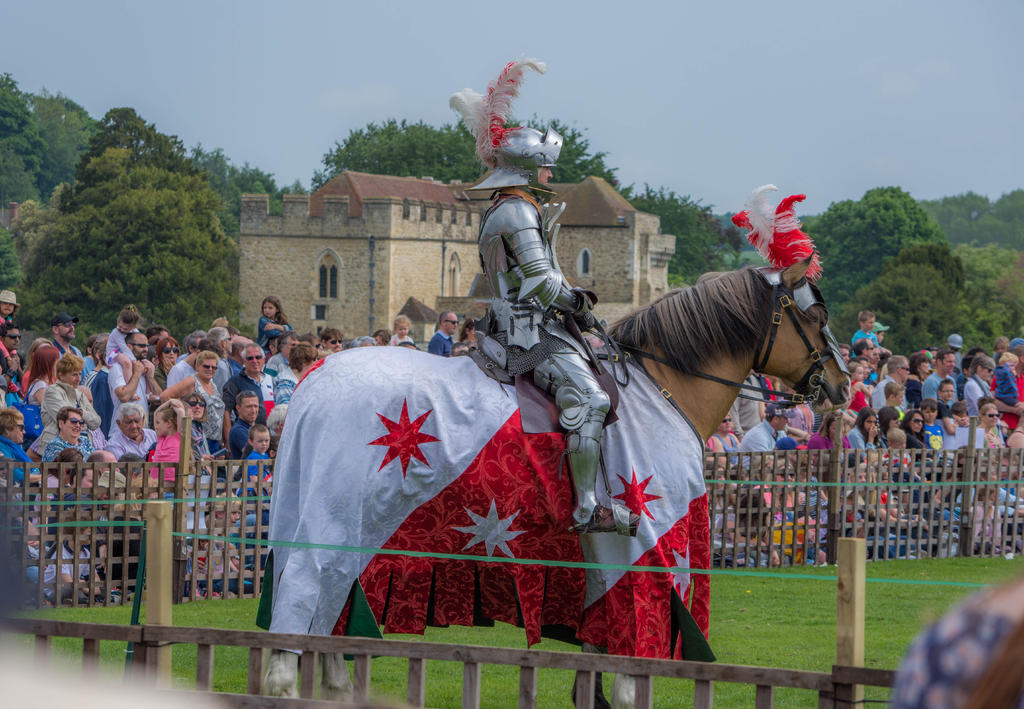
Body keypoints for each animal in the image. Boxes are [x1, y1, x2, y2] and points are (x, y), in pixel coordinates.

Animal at [260, 259, 851, 704]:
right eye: (816, 314)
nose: (842, 383)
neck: (662, 387)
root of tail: (313, 385)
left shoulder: (601, 575)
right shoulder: (642, 555)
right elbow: (628, 682)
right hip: (325, 538)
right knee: (294, 638)